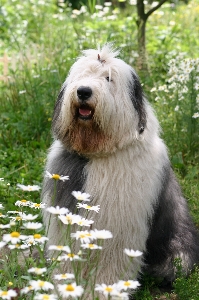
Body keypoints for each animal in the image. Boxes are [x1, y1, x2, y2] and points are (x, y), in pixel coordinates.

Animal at [41, 44, 199, 292]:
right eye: (82, 75)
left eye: (108, 78)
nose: (83, 91)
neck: (99, 152)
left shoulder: (117, 223)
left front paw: (105, 290)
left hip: (177, 249)